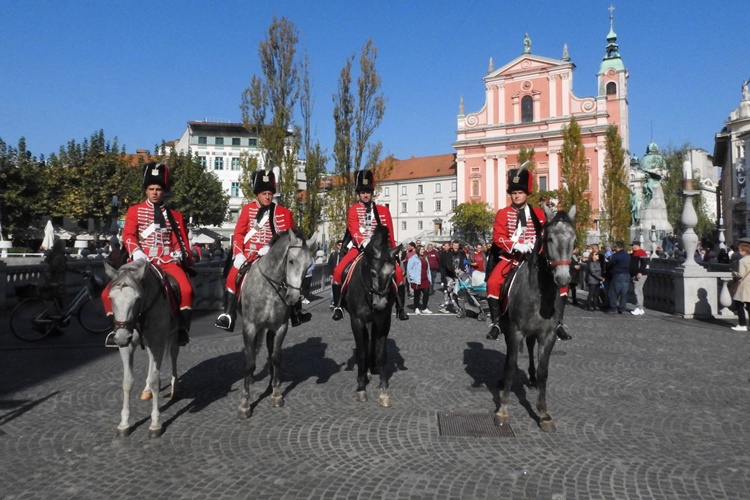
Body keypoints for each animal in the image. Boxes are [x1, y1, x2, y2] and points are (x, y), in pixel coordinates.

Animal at [104, 260, 181, 436]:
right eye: (111, 298)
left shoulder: (158, 342)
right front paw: (124, 423)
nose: (121, 337)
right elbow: (127, 381)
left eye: (137, 299)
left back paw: (174, 388)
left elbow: (155, 381)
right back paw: (147, 391)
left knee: (173, 356)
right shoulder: (127, 347)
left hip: (174, 336)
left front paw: (155, 423)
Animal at [239, 230, 312, 418]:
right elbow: (248, 362)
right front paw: (245, 404)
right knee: (251, 353)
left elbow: (276, 358)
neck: (270, 288)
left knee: (268, 353)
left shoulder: (280, 327)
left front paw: (276, 393)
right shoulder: (249, 327)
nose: (293, 297)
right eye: (291, 261)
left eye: (309, 265)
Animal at [342, 225, 402, 408]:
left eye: (392, 274)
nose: (380, 304)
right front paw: (361, 387)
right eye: (373, 273)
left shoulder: (384, 320)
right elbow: (361, 352)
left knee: (372, 339)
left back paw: (372, 367)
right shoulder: (357, 321)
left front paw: (383, 391)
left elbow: (381, 353)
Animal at [496, 205, 580, 432]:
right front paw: (502, 410)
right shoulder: (515, 330)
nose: (563, 278)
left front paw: (544, 414)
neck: (539, 293)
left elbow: (544, 372)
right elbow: (510, 366)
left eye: (574, 239)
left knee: (531, 348)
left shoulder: (548, 334)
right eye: (549, 238)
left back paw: (532, 377)